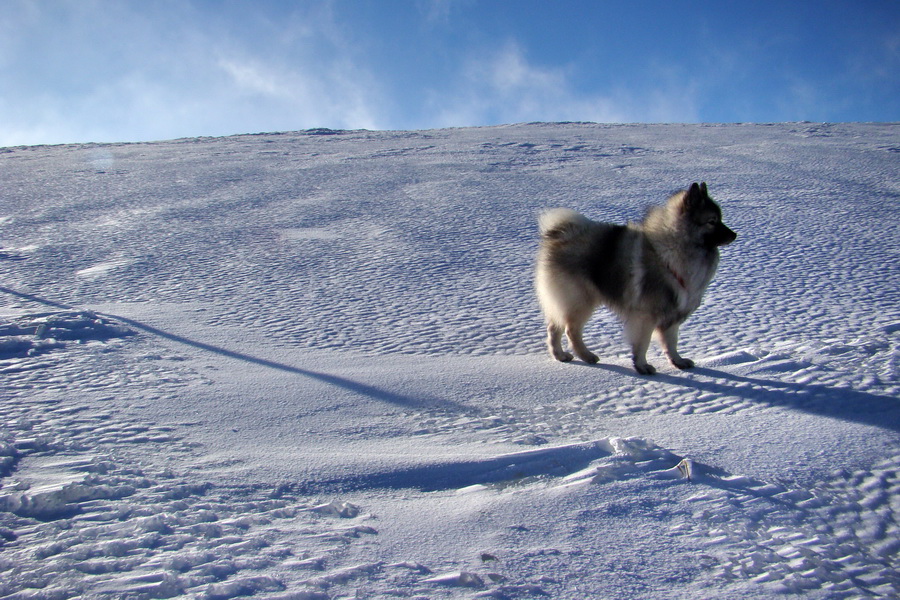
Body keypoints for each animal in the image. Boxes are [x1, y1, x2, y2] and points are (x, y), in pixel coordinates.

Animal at [536, 182, 736, 376]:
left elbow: (671, 342)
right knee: (571, 330)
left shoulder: (672, 314)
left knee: (554, 327)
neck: (672, 250)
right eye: (712, 221)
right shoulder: (646, 316)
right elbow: (643, 344)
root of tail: (562, 235)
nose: (734, 235)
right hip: (580, 301)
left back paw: (560, 355)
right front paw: (642, 366)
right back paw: (587, 356)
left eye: (720, 219)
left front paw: (677, 361)